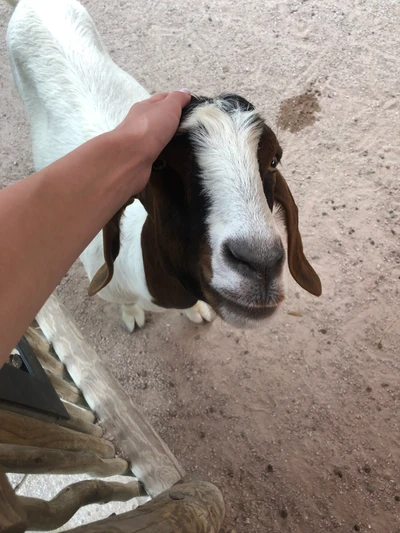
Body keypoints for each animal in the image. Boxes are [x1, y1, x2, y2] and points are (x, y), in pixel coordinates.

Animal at [5, 0, 322, 330]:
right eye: (161, 164)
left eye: (273, 160)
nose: (260, 263)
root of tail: (32, 4)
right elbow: (127, 304)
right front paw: (132, 315)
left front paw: (195, 310)